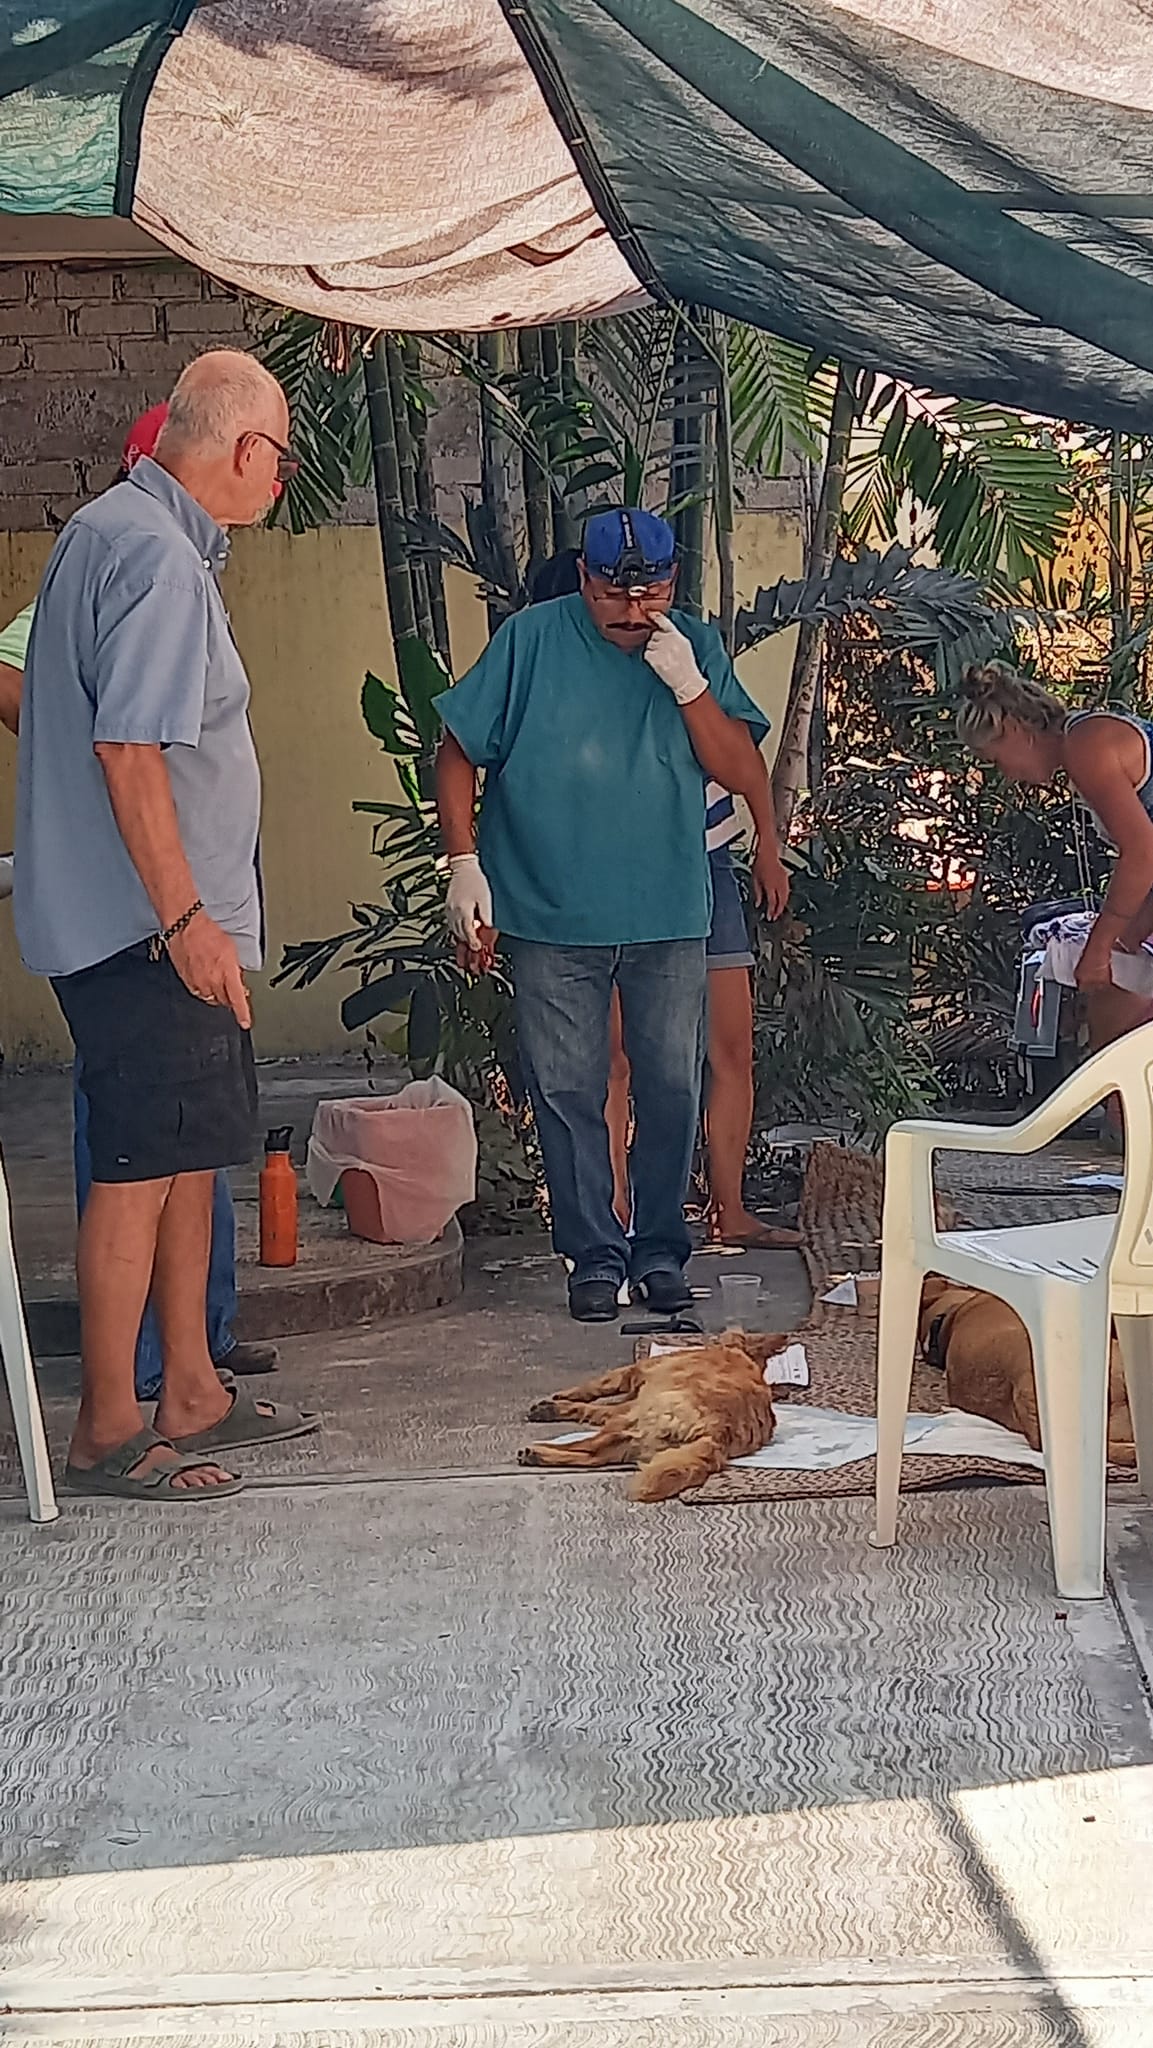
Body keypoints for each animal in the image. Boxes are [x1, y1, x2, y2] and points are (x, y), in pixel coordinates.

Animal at [518, 1329, 787, 1500]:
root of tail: (718, 1434)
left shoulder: (632, 1376)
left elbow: (594, 1390)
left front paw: (557, 1403)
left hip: (631, 1422)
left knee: (587, 1447)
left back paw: (536, 1450)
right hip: (632, 1438)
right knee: (592, 1456)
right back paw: (539, 1455)